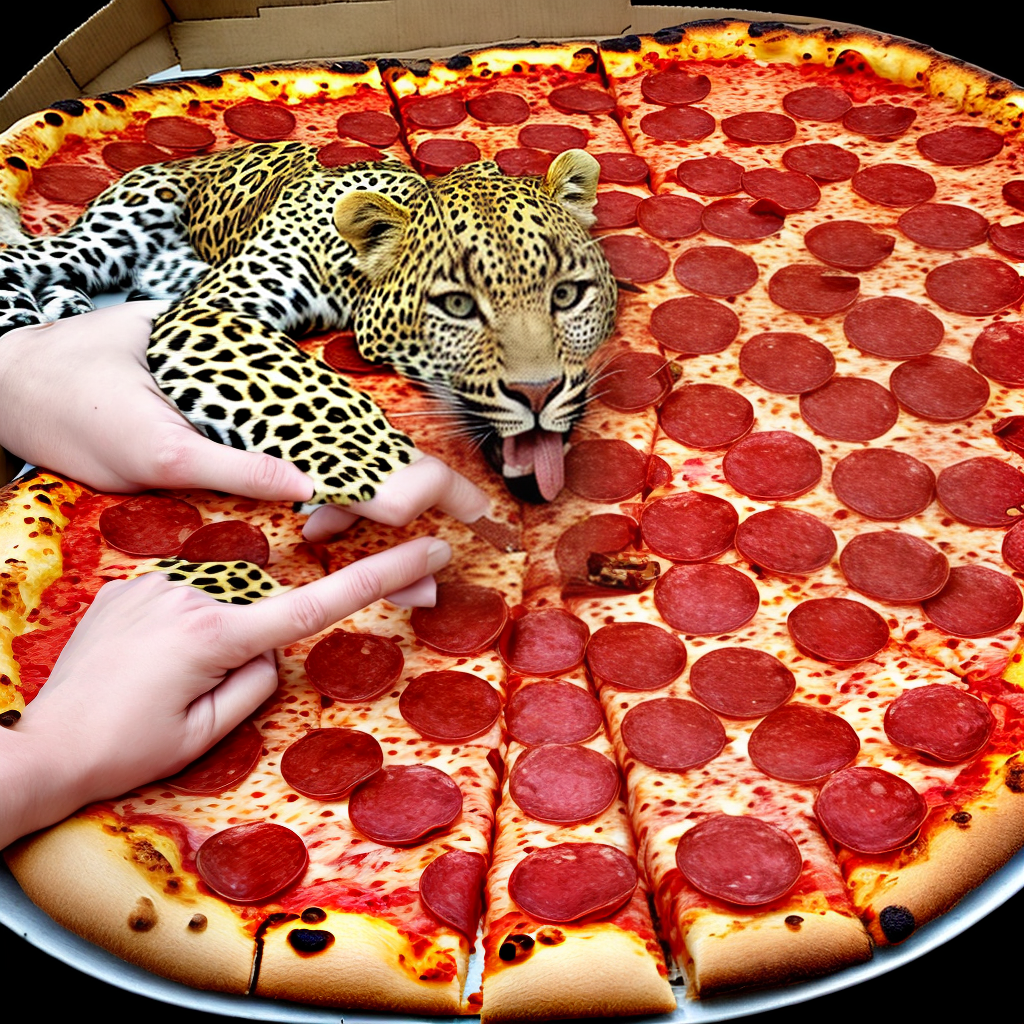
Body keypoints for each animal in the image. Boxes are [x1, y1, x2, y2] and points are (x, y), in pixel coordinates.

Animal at [0, 142, 618, 505]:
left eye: (567, 294)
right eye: (459, 307)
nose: (537, 393)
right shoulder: (219, 303)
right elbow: (305, 392)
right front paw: (385, 469)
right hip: (113, 231)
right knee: (26, 257)